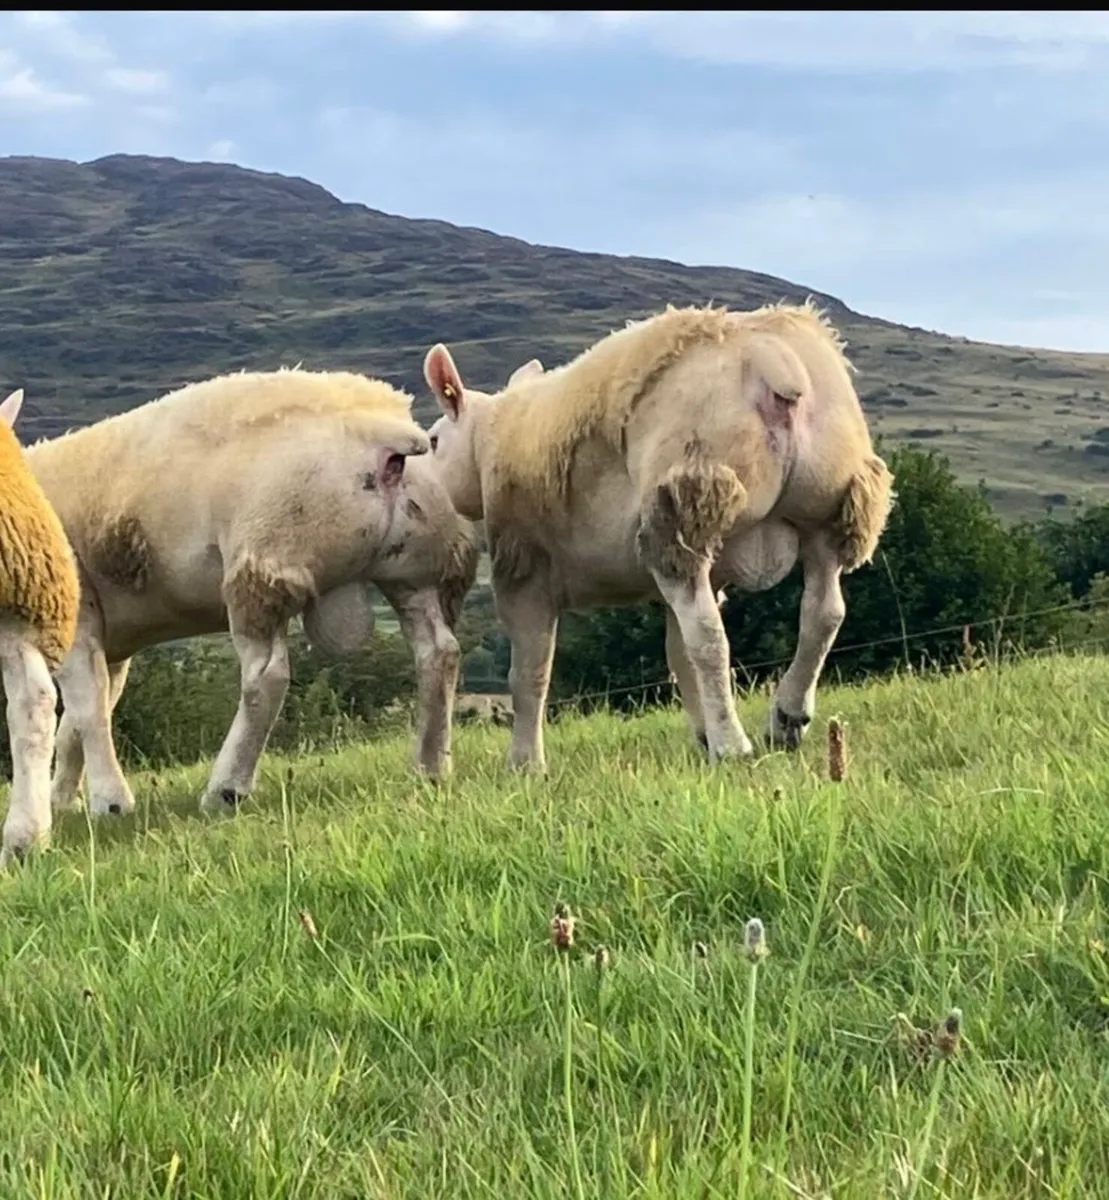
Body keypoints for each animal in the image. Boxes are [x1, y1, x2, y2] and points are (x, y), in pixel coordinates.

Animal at [23, 367, 478, 828]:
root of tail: (387, 435)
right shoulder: (113, 642)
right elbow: (78, 721)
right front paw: (64, 799)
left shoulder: (76, 617)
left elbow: (87, 706)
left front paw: (109, 803)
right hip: (418, 570)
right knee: (438, 653)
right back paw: (431, 766)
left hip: (264, 561)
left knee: (266, 677)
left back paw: (226, 788)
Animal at [423, 300, 894, 771]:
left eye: (433, 440)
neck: (489, 443)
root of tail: (773, 361)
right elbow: (678, 654)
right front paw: (702, 735)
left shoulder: (524, 571)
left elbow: (530, 673)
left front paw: (525, 764)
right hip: (831, 508)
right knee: (823, 613)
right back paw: (787, 718)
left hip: (683, 509)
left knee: (710, 636)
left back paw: (733, 743)